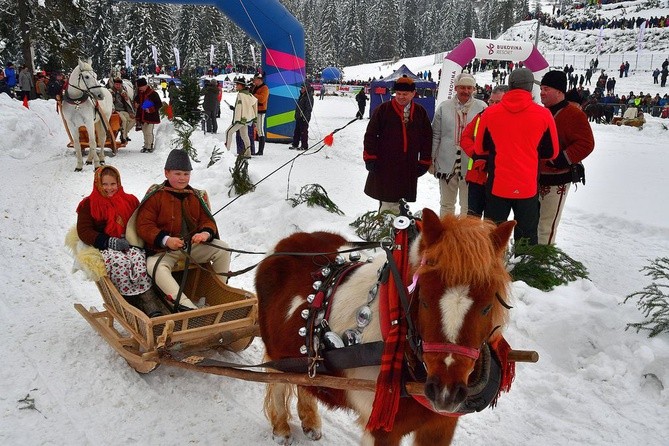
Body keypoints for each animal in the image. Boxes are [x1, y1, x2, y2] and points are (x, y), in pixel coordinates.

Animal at [254, 210, 512, 446]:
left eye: (487, 306)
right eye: (424, 300)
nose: (445, 392)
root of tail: (286, 243)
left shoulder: (441, 426)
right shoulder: (382, 429)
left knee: (304, 380)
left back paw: (310, 422)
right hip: (277, 353)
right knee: (278, 382)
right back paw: (281, 428)